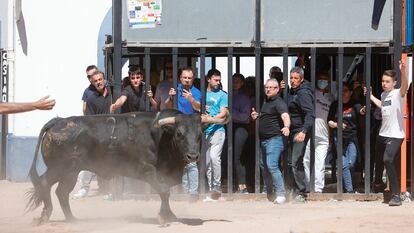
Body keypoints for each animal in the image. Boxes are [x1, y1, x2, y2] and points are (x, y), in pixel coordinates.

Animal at [25, 109, 226, 226]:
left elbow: (166, 192)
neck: (161, 136)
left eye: (200, 133)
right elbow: (164, 191)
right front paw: (163, 217)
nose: (193, 156)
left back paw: (72, 220)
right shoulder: (148, 171)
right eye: (179, 133)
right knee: (45, 183)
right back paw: (44, 217)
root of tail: (58, 122)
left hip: (71, 172)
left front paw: (170, 215)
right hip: (60, 168)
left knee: (61, 192)